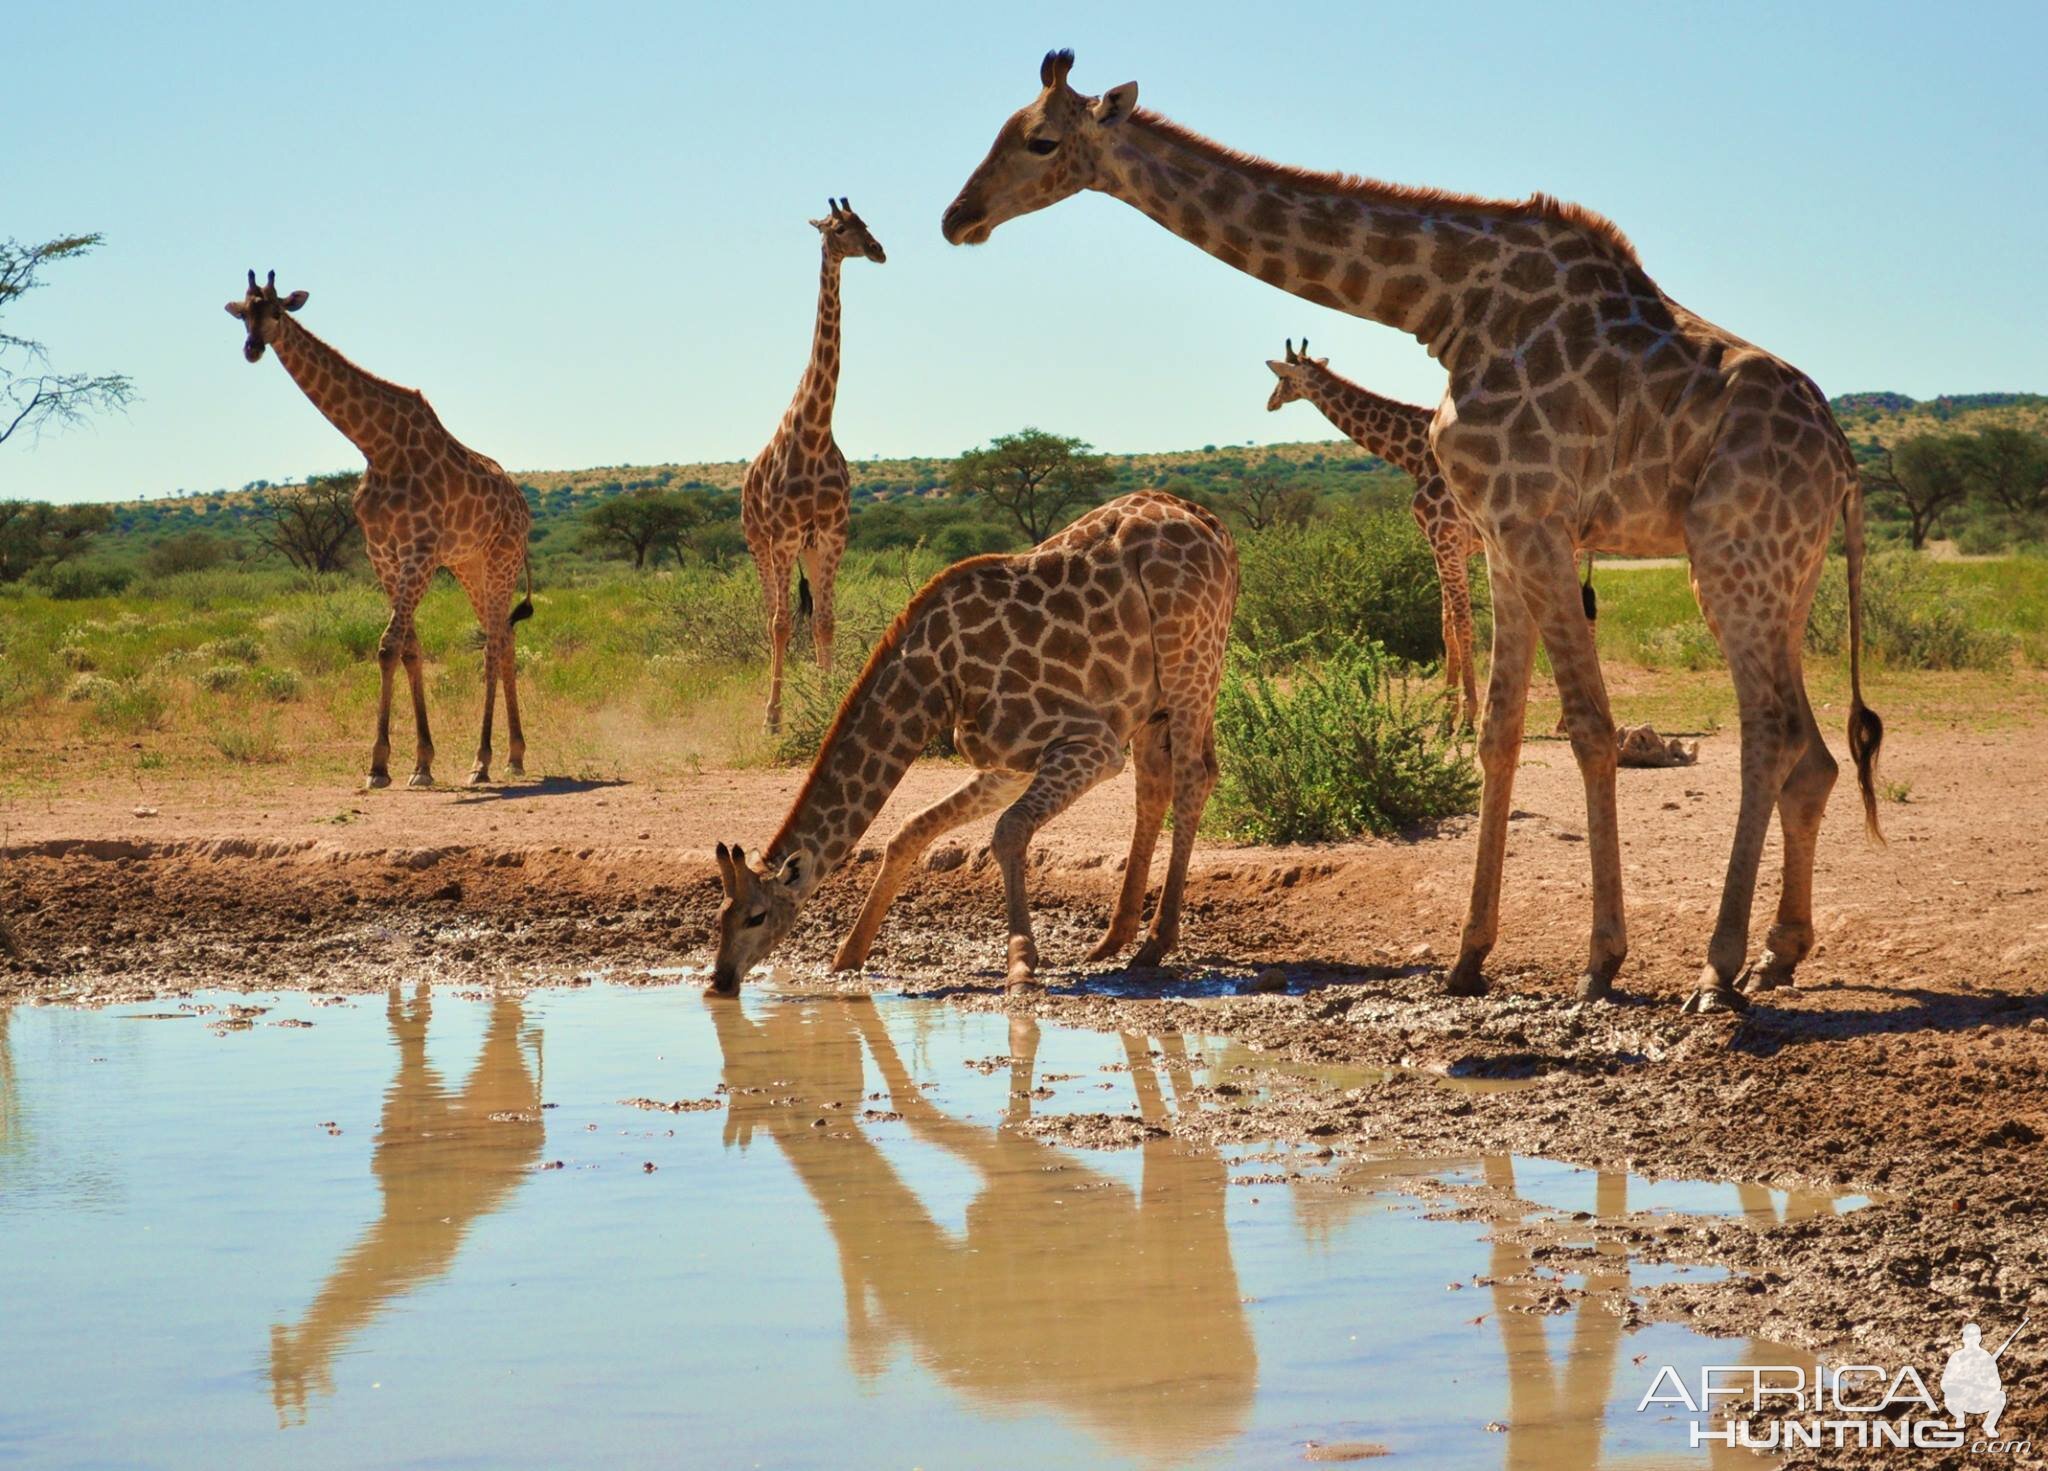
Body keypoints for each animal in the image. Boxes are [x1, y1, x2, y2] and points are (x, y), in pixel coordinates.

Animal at [224, 268, 536, 790]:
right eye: (244, 313)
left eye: (278, 311)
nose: (252, 348)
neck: (378, 446)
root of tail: (523, 506)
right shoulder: (384, 555)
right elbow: (409, 647)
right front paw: (418, 762)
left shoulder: (419, 552)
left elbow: (388, 646)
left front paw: (378, 765)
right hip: (469, 564)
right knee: (505, 639)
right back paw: (514, 756)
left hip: (501, 558)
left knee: (493, 643)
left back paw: (483, 761)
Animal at [712, 491, 1236, 991]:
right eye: (719, 916)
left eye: (756, 917)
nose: (721, 980)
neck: (938, 684)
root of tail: (1211, 524)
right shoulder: (1007, 766)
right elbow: (909, 831)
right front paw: (848, 955)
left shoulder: (1091, 746)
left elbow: (1008, 831)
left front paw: (1021, 963)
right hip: (1156, 698)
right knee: (1157, 785)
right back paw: (1114, 940)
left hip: (1191, 662)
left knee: (1193, 777)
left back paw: (1155, 943)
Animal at [745, 202, 888, 737]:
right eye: (841, 228)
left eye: (868, 224)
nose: (879, 251)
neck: (816, 429)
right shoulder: (784, 536)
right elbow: (783, 622)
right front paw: (775, 717)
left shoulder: (831, 534)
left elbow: (826, 620)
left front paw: (828, 702)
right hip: (759, 543)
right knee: (772, 615)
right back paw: (770, 711)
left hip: (805, 548)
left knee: (803, 616)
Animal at [1261, 333, 1490, 725]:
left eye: (1282, 377)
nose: (1270, 402)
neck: (1414, 456)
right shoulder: (1447, 545)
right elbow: (1446, 623)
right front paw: (1447, 718)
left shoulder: (1445, 538)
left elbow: (1461, 622)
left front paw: (1465, 716)